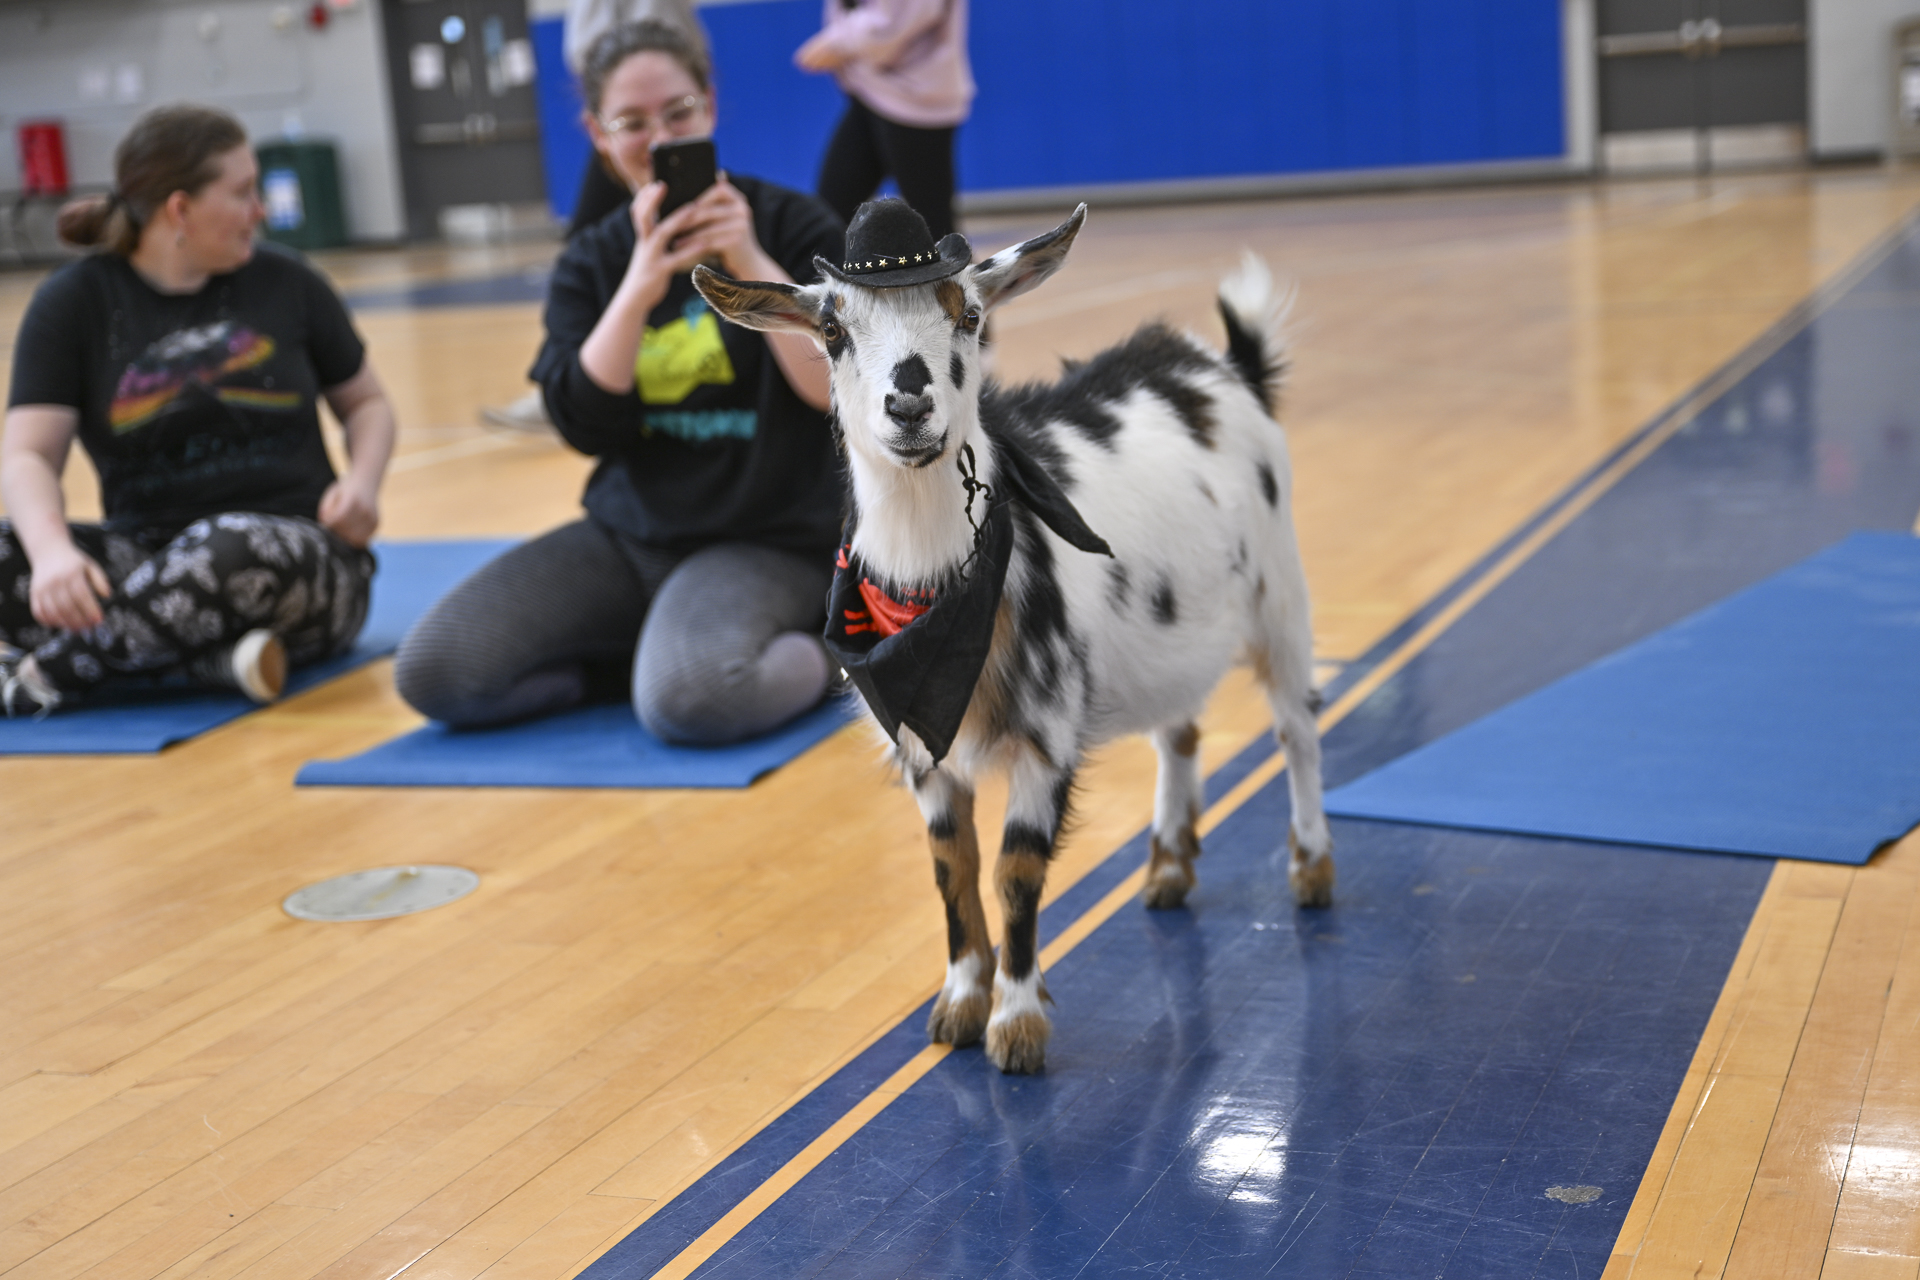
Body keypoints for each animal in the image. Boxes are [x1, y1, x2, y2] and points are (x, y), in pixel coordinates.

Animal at [694, 202, 1331, 1074]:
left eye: (969, 314)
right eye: (830, 329)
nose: (909, 407)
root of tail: (1223, 365)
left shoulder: (1046, 736)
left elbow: (1015, 872)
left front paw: (1018, 1024)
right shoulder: (923, 750)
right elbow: (952, 870)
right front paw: (961, 1001)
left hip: (1279, 592)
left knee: (1296, 726)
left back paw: (1312, 867)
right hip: (1173, 634)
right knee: (1180, 729)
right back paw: (1168, 865)